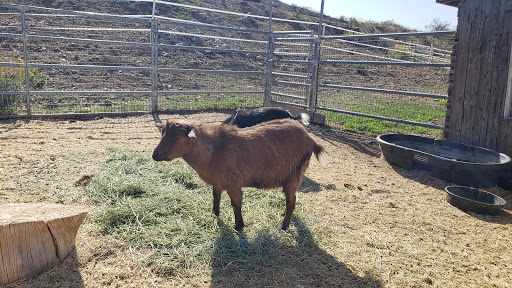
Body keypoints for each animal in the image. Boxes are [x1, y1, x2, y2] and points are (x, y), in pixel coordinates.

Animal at [152, 118, 328, 231]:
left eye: (177, 136)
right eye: (163, 133)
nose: (155, 154)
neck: (213, 151)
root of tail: (310, 140)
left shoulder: (233, 183)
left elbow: (236, 204)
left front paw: (239, 226)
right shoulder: (218, 181)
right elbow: (215, 196)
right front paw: (215, 213)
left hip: (295, 174)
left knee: (292, 200)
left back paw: (284, 225)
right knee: (290, 199)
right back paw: (283, 214)